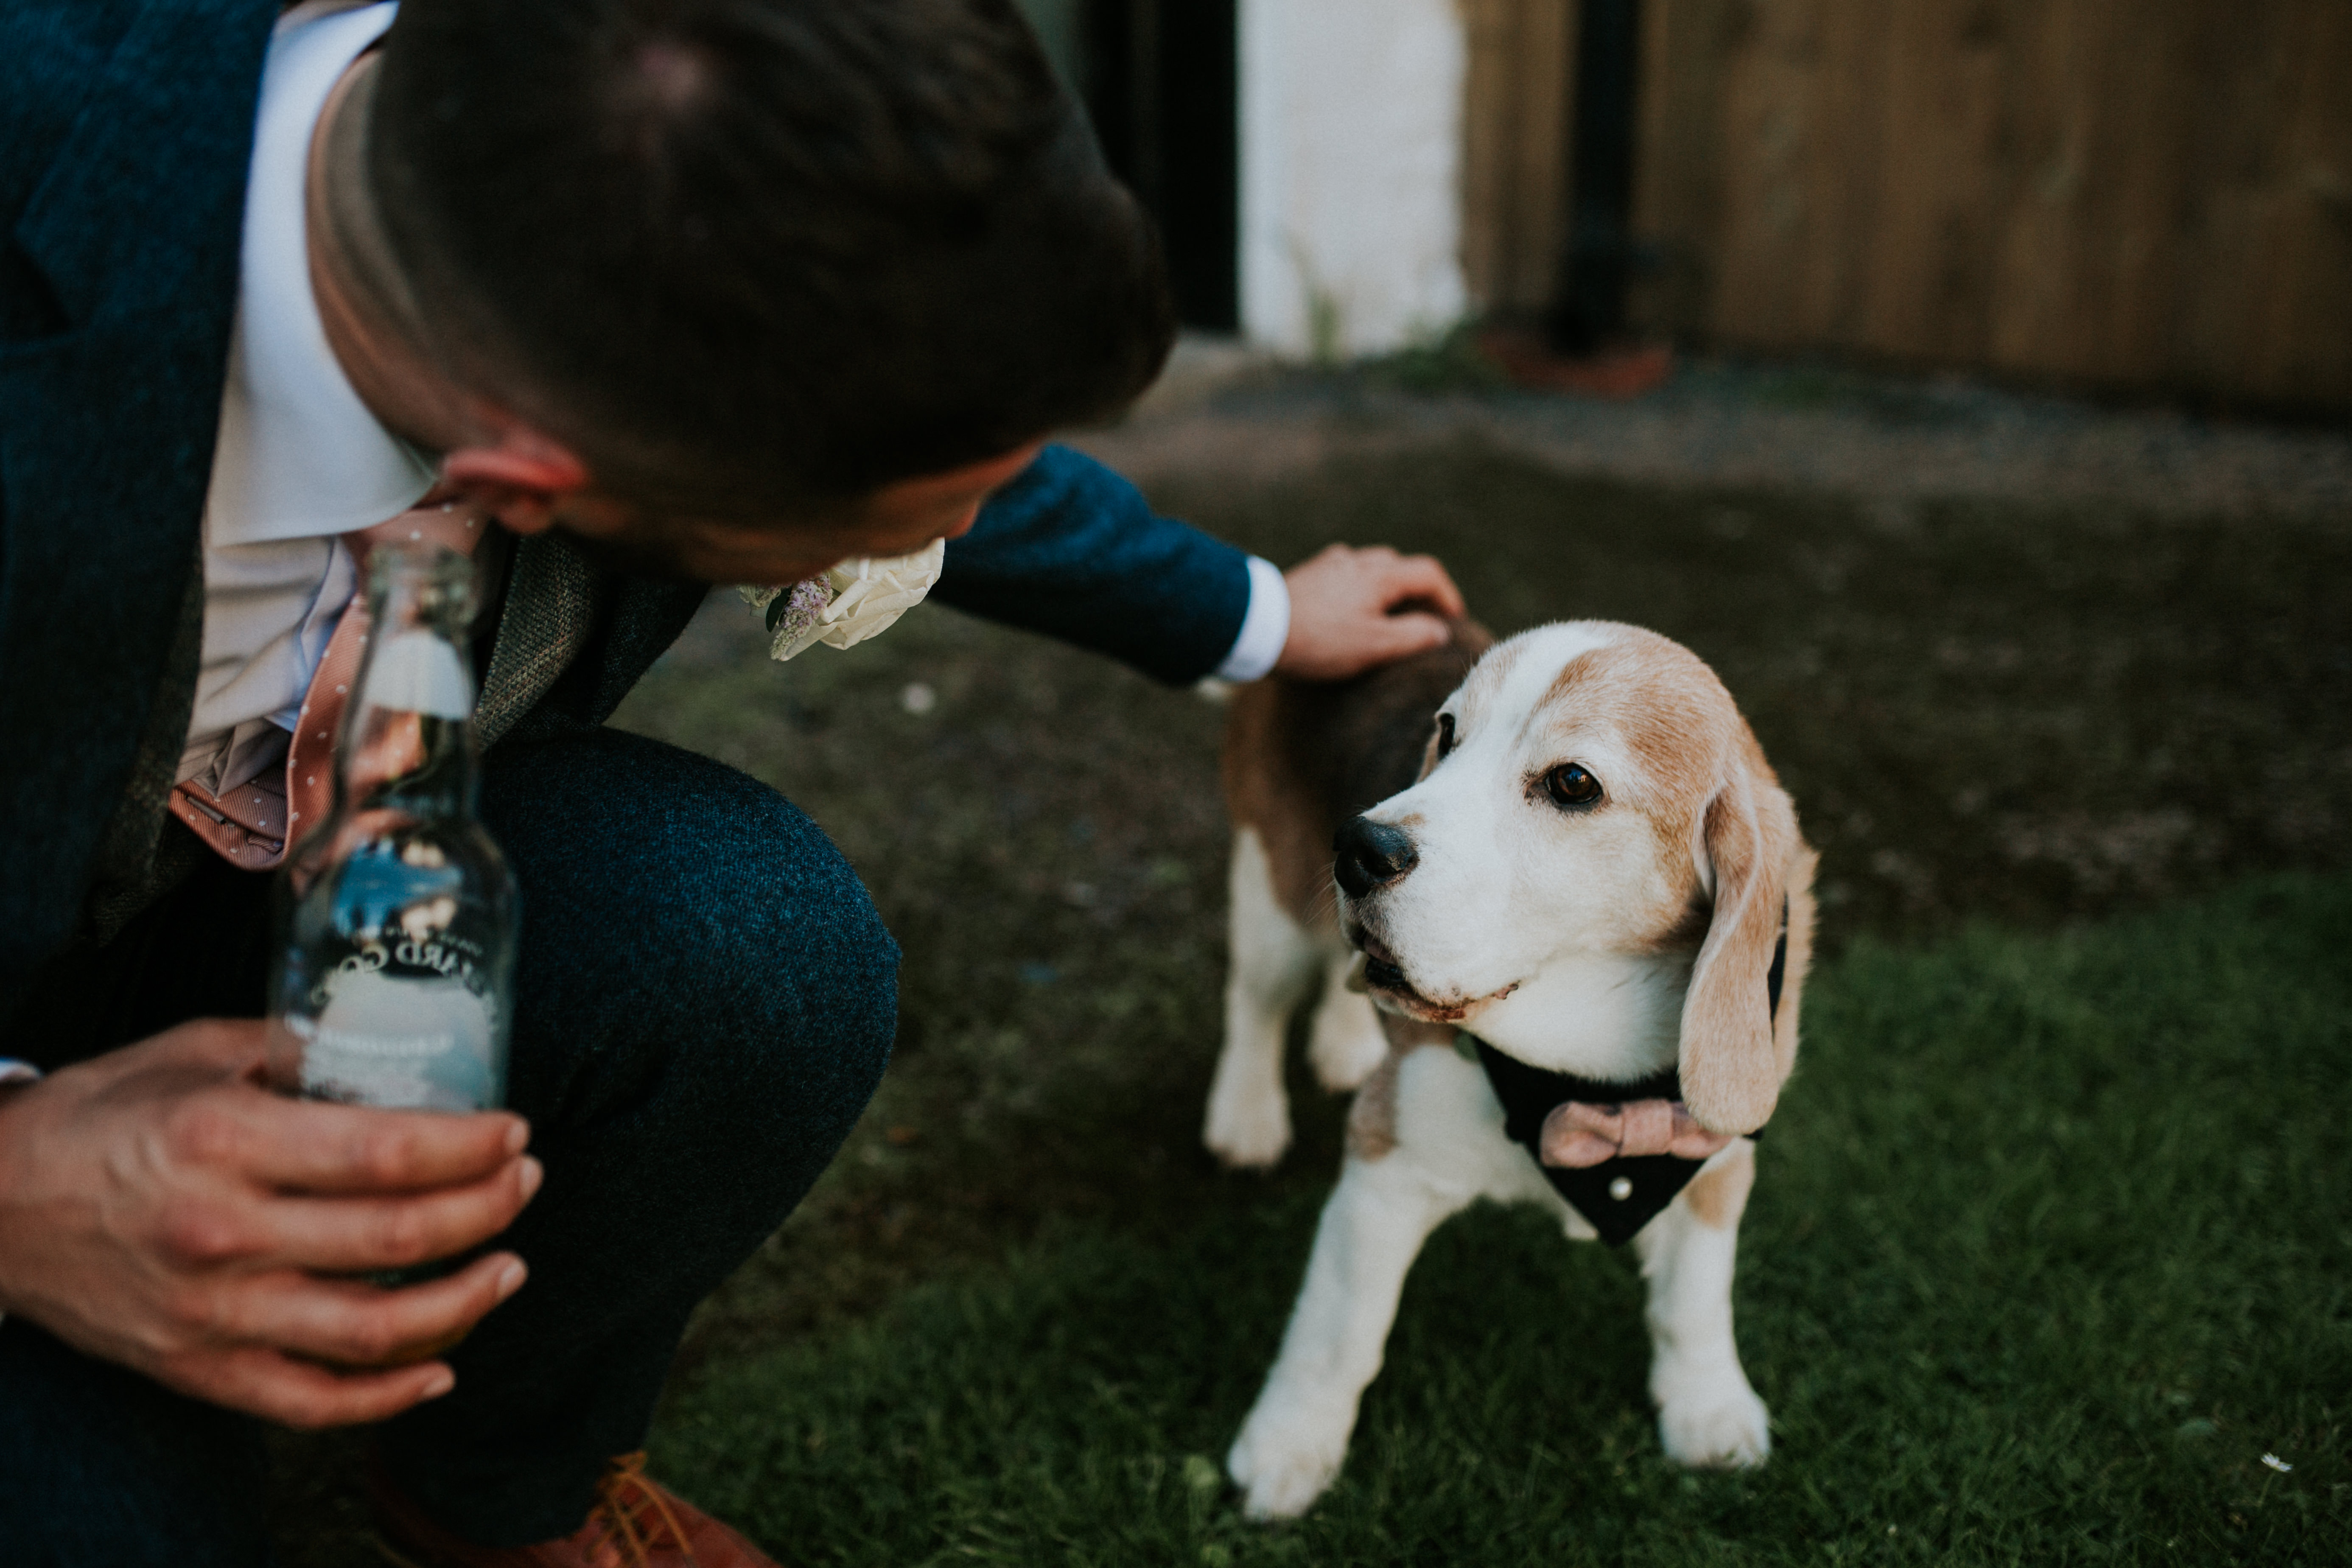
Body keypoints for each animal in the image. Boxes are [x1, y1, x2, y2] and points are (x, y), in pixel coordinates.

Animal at [1204, 620, 1806, 1523]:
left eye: (1571, 783)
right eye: (1447, 733)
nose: (1357, 847)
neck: (1577, 1068)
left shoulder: (1716, 1157)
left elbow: (1694, 1301)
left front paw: (1707, 1408)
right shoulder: (1385, 1168)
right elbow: (1340, 1332)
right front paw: (1287, 1445)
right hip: (1272, 893)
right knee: (1255, 1000)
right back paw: (1245, 1115)